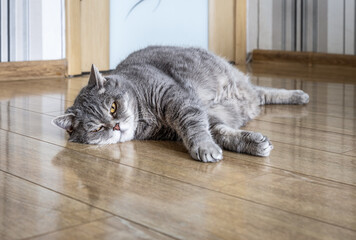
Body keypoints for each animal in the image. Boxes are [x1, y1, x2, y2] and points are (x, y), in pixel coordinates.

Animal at [52, 46, 308, 162]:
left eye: (113, 107)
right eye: (97, 129)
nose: (115, 126)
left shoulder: (178, 99)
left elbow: (195, 128)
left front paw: (205, 148)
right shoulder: (203, 119)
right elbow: (223, 133)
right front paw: (253, 143)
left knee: (263, 91)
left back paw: (300, 95)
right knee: (261, 95)